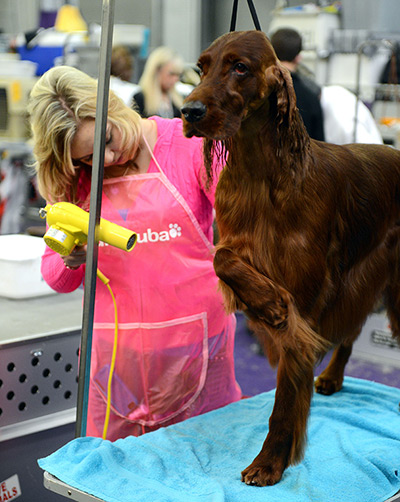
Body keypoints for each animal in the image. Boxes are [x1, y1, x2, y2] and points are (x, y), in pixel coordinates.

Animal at [182, 30, 400, 486]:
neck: (261, 173)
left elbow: (286, 398)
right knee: (351, 331)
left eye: (240, 67)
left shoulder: (307, 301)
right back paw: (332, 377)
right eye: (200, 67)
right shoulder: (238, 243)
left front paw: (268, 463)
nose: (188, 111)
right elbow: (221, 258)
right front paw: (269, 302)